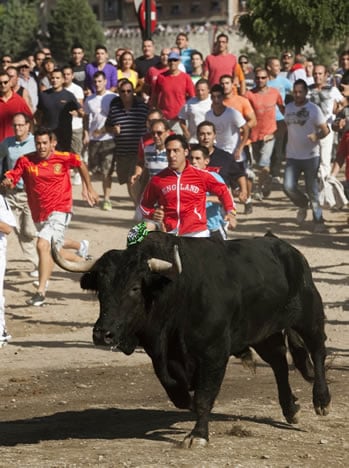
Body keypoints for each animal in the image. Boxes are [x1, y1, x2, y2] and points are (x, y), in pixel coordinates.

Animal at [51, 232, 328, 448]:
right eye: (101, 289)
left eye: (135, 288)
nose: (102, 333)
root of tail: (286, 249)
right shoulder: (163, 355)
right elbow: (174, 388)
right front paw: (186, 401)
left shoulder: (214, 353)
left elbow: (204, 396)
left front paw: (198, 435)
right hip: (264, 333)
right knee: (280, 363)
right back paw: (291, 410)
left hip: (309, 316)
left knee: (317, 351)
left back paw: (322, 401)